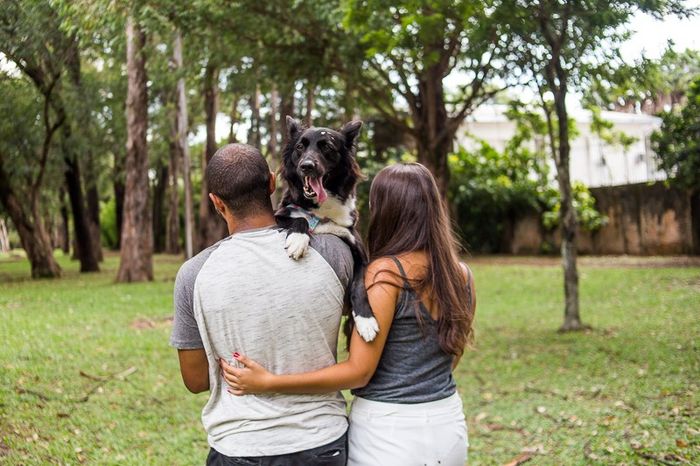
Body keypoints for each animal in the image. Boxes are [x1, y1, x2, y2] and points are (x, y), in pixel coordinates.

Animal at [276, 116, 380, 342]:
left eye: (327, 148)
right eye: (300, 147)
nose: (306, 166)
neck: (322, 213)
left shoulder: (360, 252)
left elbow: (359, 286)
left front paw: (366, 320)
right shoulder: (279, 215)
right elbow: (300, 220)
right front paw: (298, 240)